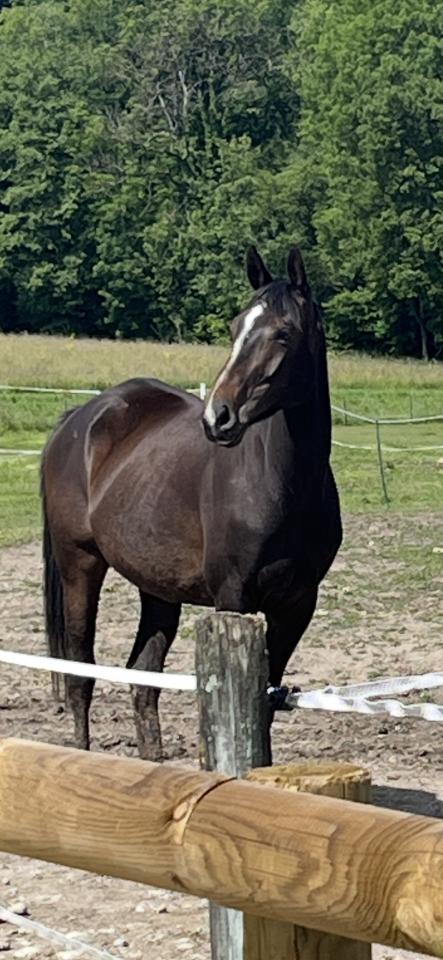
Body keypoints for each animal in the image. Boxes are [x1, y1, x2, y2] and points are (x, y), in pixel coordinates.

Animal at [41, 245, 342, 761]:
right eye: (236, 327)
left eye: (283, 334)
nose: (218, 416)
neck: (283, 484)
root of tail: (79, 419)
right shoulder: (233, 598)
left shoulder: (298, 604)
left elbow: (263, 704)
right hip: (79, 566)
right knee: (81, 675)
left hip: (158, 588)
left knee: (142, 682)